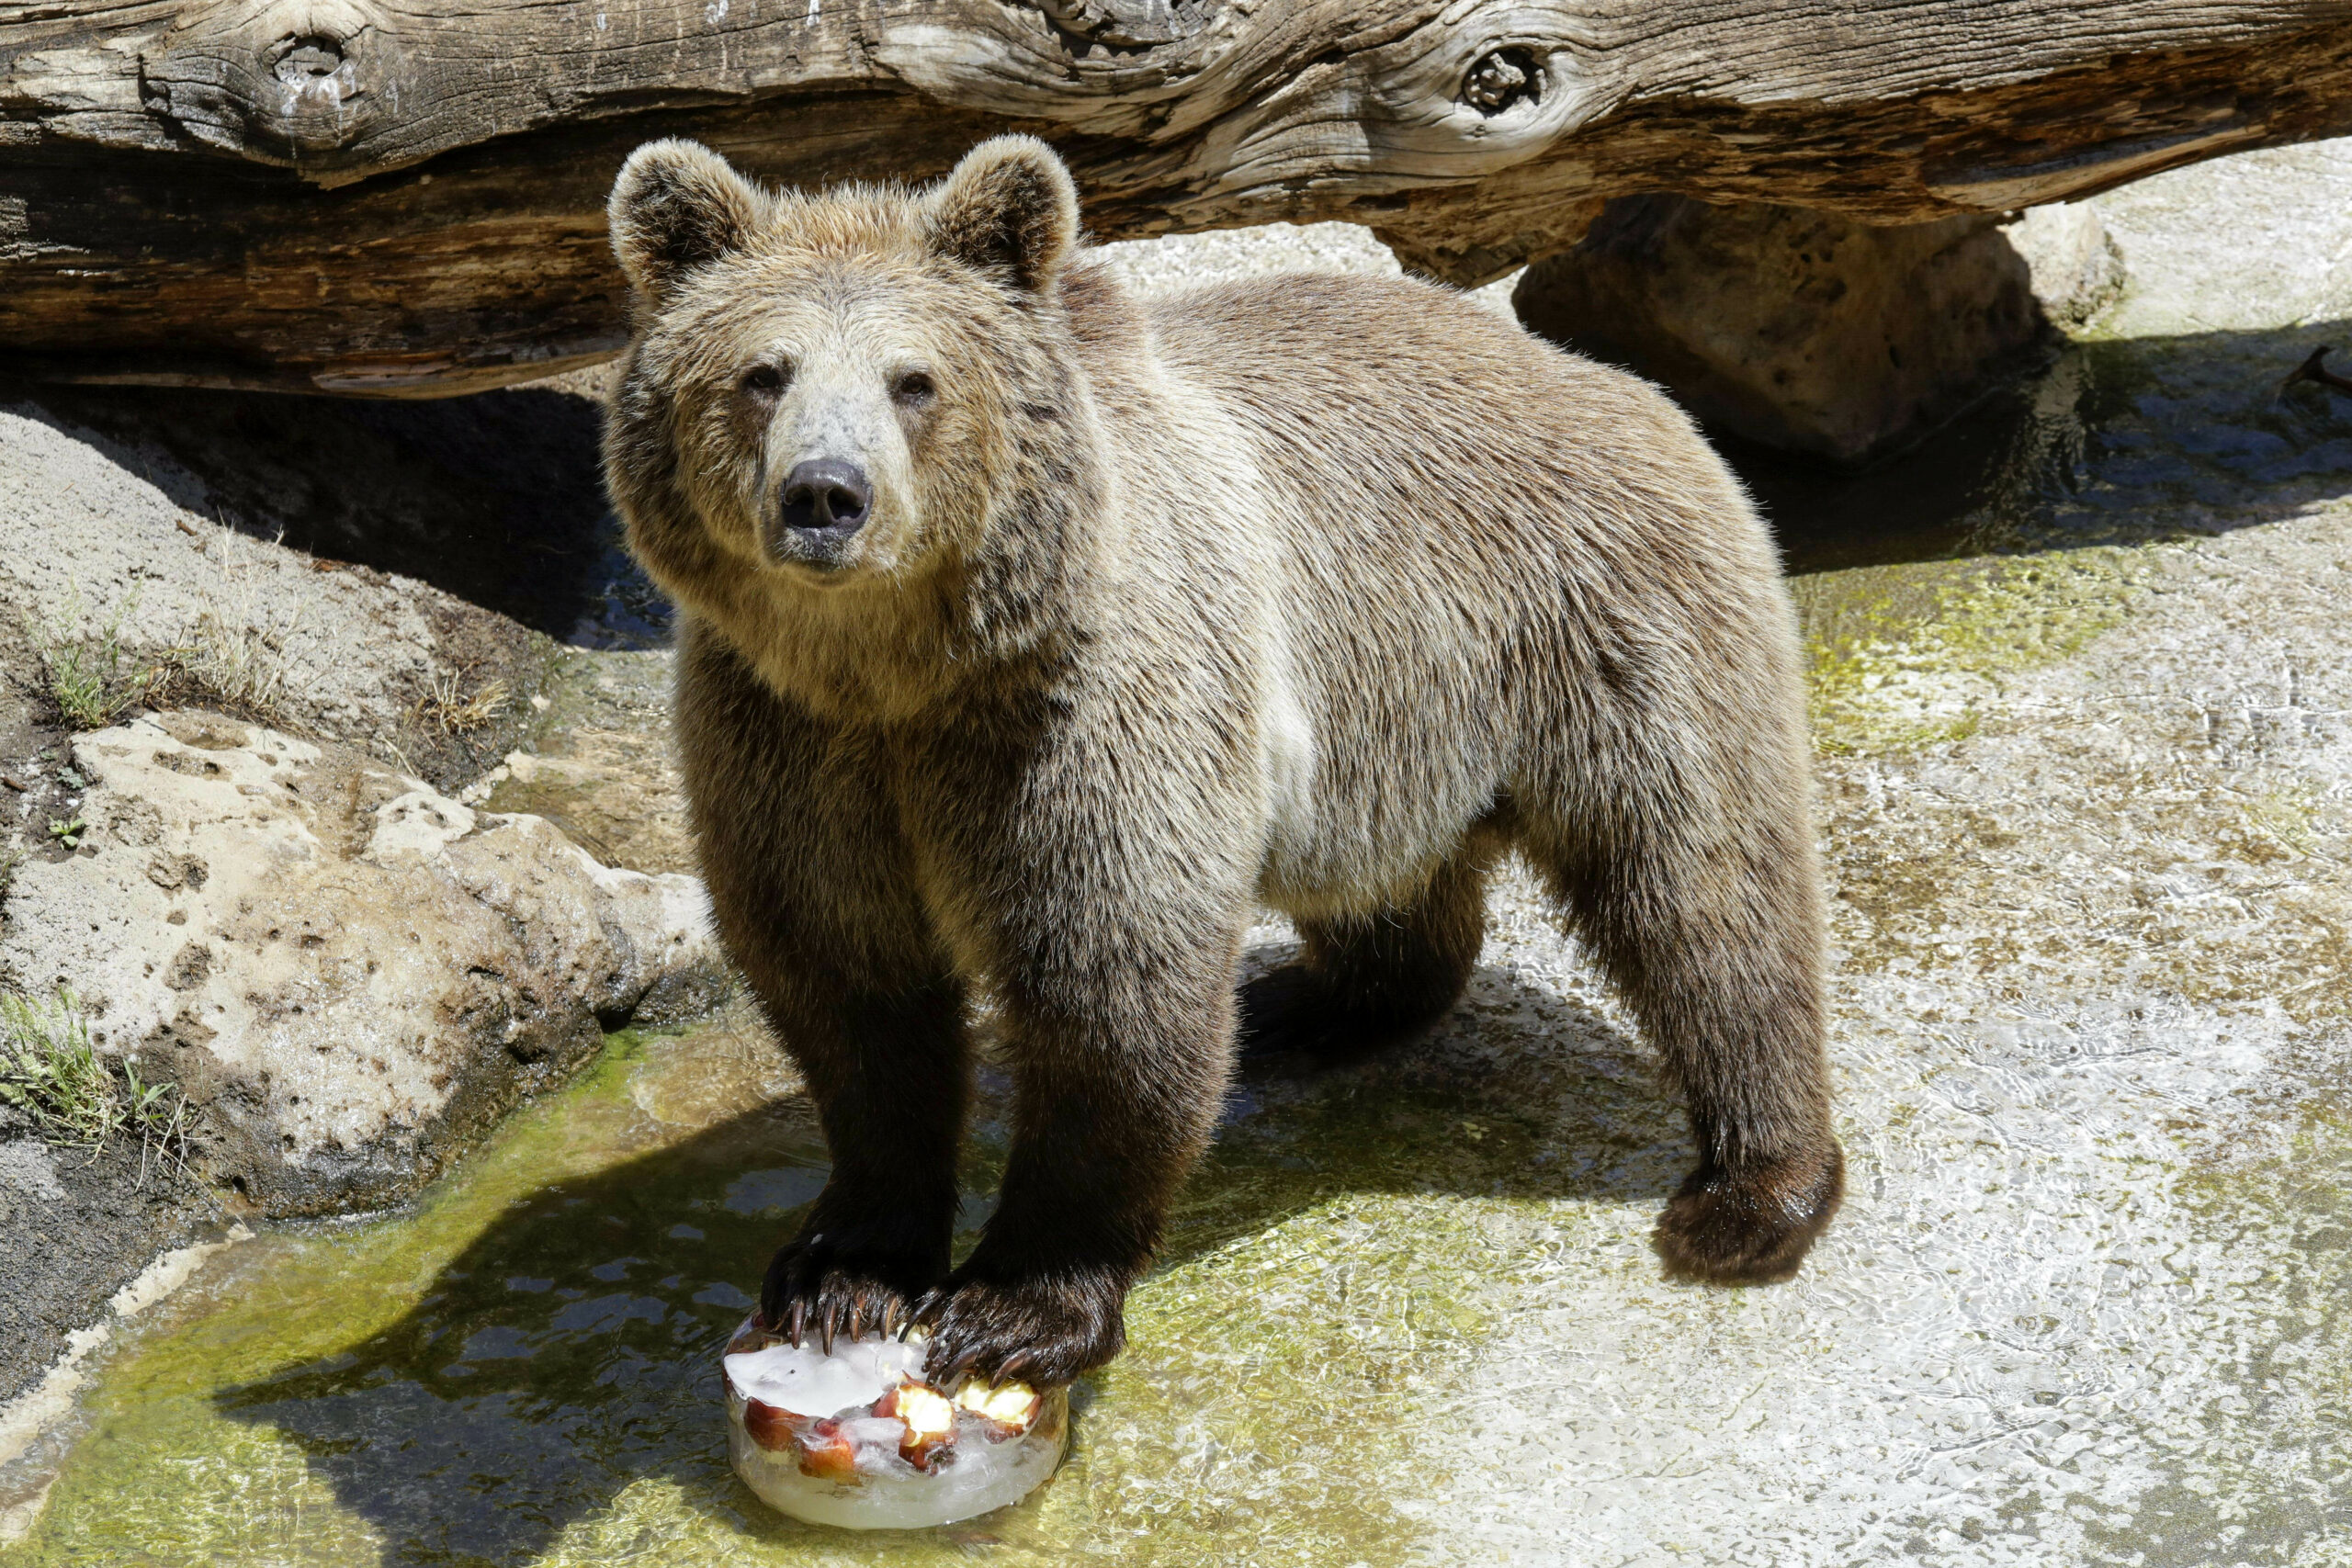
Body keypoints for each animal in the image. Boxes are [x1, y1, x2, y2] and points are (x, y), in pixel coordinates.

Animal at [602, 134, 1844, 1389]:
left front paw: (1014, 1307)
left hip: (1603, 620)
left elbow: (1111, 990)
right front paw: (842, 1271)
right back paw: (1311, 1005)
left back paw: (1752, 1192)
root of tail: (1597, 376)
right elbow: (846, 989)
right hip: (1387, 728)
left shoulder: (1074, 721)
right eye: (763, 372)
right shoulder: (794, 747)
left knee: (1702, 889)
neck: (901, 673)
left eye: (915, 380)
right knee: (1401, 885)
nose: (825, 495)